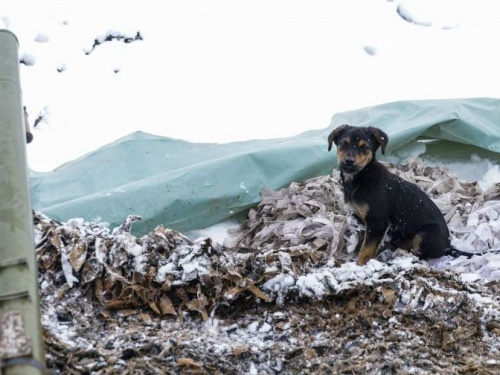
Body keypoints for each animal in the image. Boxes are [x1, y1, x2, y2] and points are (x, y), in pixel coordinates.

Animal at [328, 125, 450, 266]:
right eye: (343, 144)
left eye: (364, 147)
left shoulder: (378, 222)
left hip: (428, 234)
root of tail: (448, 246)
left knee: (418, 254)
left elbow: (366, 250)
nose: (349, 161)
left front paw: (361, 265)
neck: (363, 177)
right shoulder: (361, 218)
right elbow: (363, 242)